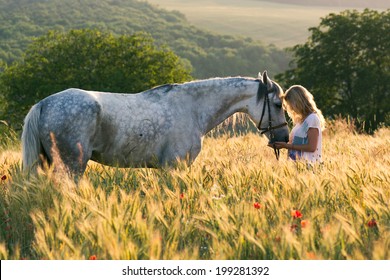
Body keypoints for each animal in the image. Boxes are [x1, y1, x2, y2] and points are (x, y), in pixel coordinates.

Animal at [22, 71, 290, 178]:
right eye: (278, 104)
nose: (284, 138)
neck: (192, 108)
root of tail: (44, 103)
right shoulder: (175, 167)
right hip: (72, 166)